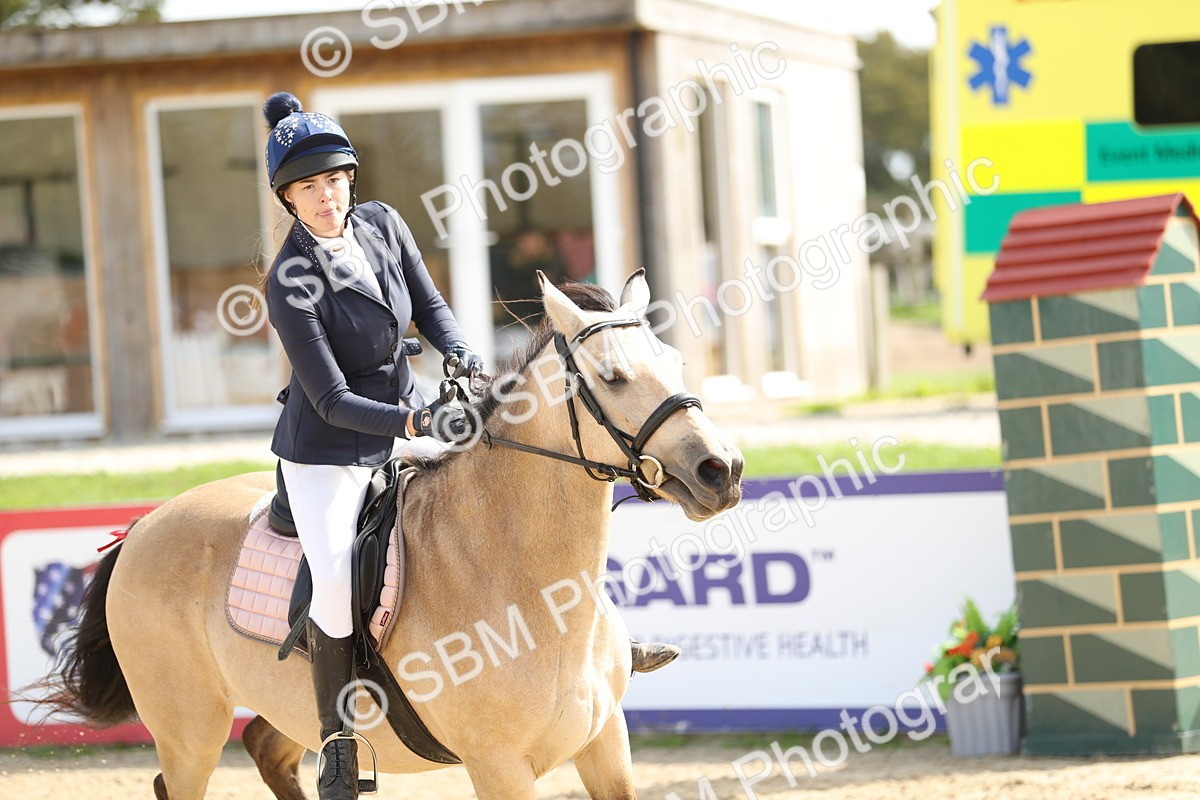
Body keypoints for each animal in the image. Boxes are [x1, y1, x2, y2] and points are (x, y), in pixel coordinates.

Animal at [36, 270, 744, 799]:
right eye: (613, 378)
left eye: (677, 361)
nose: (723, 470)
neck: (525, 581)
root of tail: (143, 526)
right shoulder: (499, 767)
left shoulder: (606, 744)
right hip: (189, 731)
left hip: (284, 706)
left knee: (270, 750)